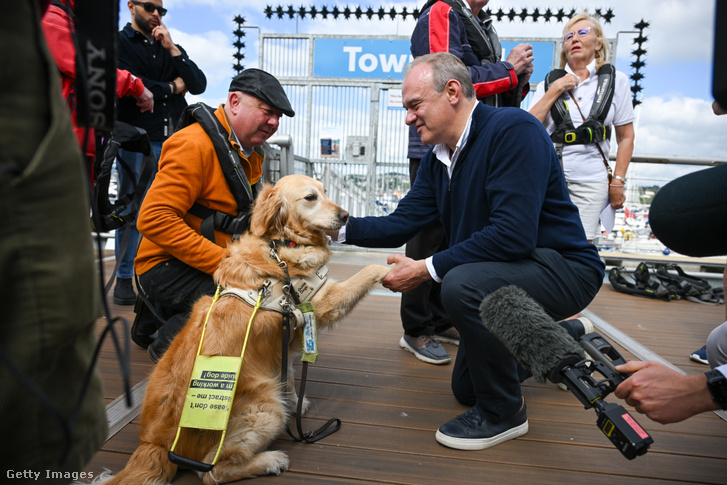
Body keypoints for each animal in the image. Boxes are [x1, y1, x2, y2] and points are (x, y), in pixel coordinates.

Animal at [104, 175, 390, 484]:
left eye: (325, 192)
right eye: (311, 197)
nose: (345, 215)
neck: (282, 242)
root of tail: (154, 442)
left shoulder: (284, 337)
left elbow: (289, 376)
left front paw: (295, 403)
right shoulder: (323, 301)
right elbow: (368, 271)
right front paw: (392, 271)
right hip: (265, 408)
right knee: (211, 472)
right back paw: (271, 460)